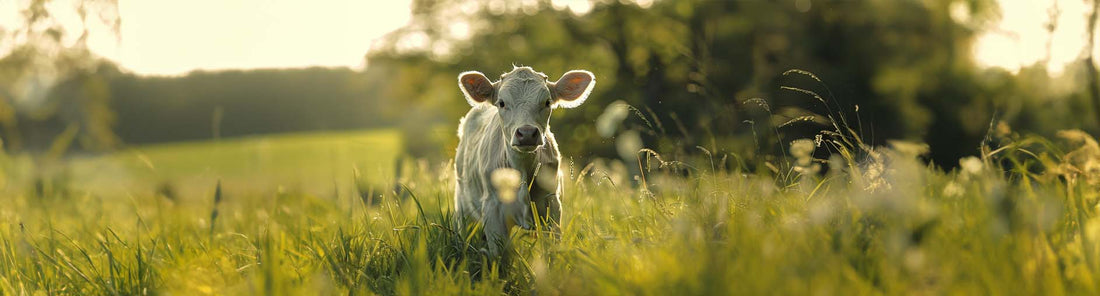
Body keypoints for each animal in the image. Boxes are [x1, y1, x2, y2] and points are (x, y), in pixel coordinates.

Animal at [453, 65, 598, 254]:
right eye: (502, 102)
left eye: (547, 102)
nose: (527, 133)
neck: (522, 170)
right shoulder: (493, 210)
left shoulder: (551, 205)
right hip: (462, 208)